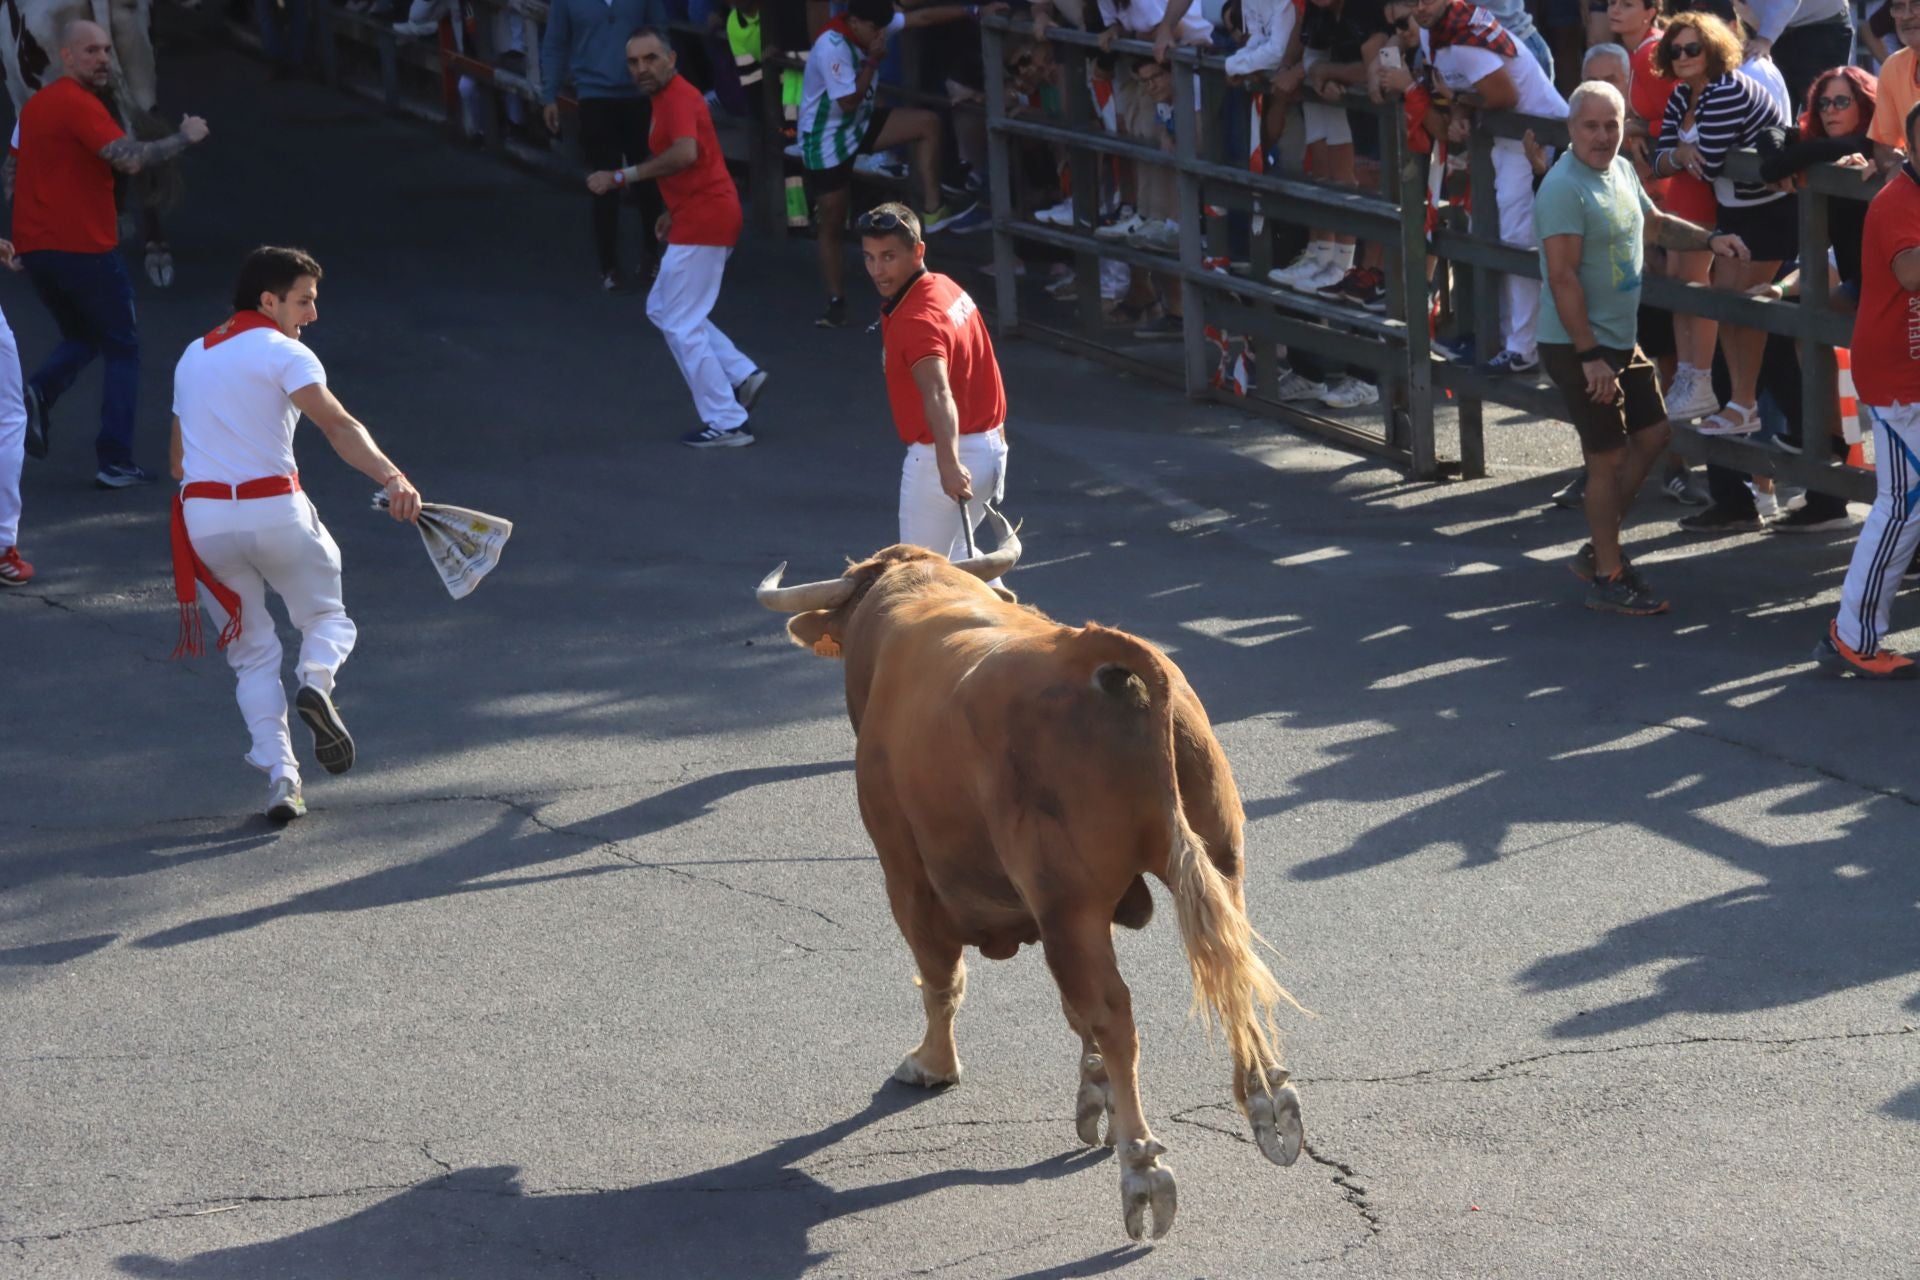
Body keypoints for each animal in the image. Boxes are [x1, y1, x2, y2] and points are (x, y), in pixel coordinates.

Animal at [752, 514, 1305, 1243]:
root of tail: (1096, 653)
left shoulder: (907, 872)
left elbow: (942, 977)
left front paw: (933, 1064)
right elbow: (1073, 1011)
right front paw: (1093, 1091)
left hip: (1065, 902)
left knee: (1114, 1012)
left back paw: (1142, 1171)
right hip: (1217, 858)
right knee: (1230, 969)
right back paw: (1270, 1102)